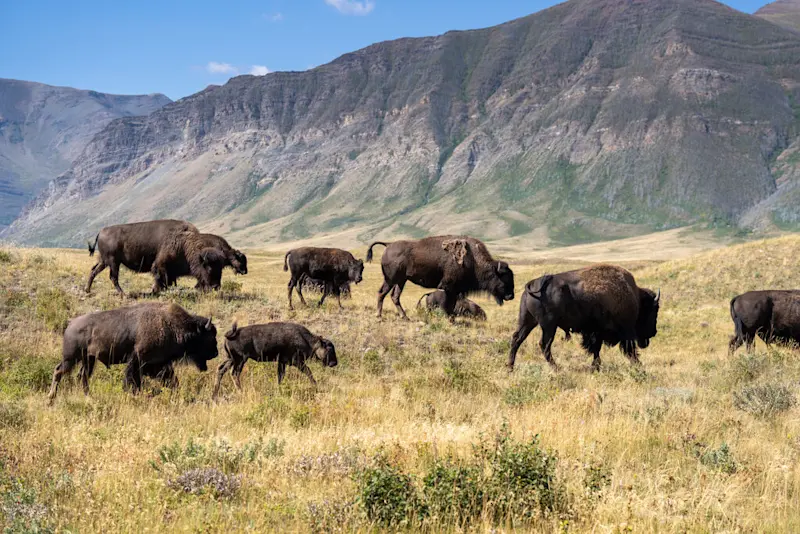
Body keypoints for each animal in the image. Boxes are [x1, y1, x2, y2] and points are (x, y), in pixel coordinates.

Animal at [47, 303, 218, 403]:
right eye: (210, 337)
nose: (216, 352)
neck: (173, 325)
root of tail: (70, 325)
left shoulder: (159, 365)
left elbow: (171, 380)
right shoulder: (139, 361)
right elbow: (133, 381)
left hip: (88, 359)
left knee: (82, 376)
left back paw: (88, 397)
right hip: (71, 358)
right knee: (59, 371)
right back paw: (50, 398)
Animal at [366, 236, 514, 319]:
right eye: (504, 278)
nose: (510, 296)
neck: (473, 260)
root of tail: (388, 245)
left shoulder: (455, 291)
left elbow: (451, 306)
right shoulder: (448, 288)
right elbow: (447, 305)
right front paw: (448, 319)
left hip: (401, 281)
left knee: (394, 296)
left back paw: (405, 317)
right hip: (390, 279)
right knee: (382, 293)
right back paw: (379, 316)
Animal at [508, 264, 659, 371]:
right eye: (653, 310)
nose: (654, 332)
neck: (635, 297)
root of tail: (533, 283)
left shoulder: (596, 332)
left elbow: (596, 350)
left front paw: (596, 367)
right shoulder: (623, 331)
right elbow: (628, 350)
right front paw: (638, 365)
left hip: (527, 321)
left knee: (517, 339)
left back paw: (510, 368)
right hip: (549, 326)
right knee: (544, 345)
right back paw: (557, 368)